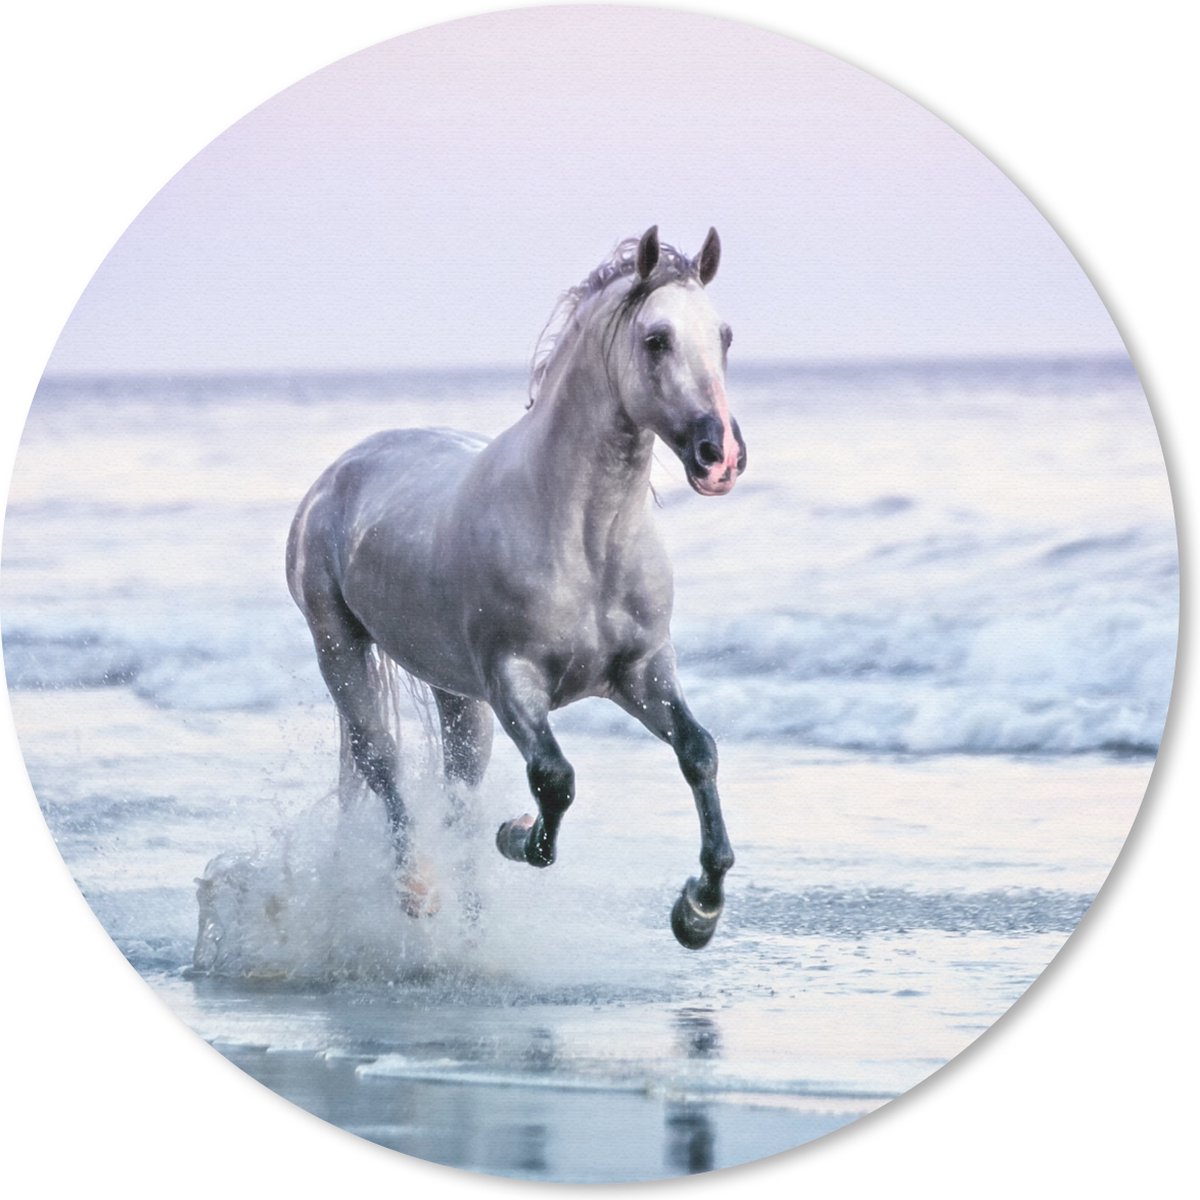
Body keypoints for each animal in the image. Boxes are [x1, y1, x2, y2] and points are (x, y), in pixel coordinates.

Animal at [286, 226, 746, 948]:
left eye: (723, 336)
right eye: (656, 339)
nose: (719, 456)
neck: (584, 539)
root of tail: (336, 475)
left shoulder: (642, 672)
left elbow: (699, 752)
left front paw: (698, 911)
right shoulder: (514, 682)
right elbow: (554, 781)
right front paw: (518, 834)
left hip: (453, 694)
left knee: (457, 791)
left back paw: (472, 926)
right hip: (341, 650)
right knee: (382, 764)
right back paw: (416, 888)